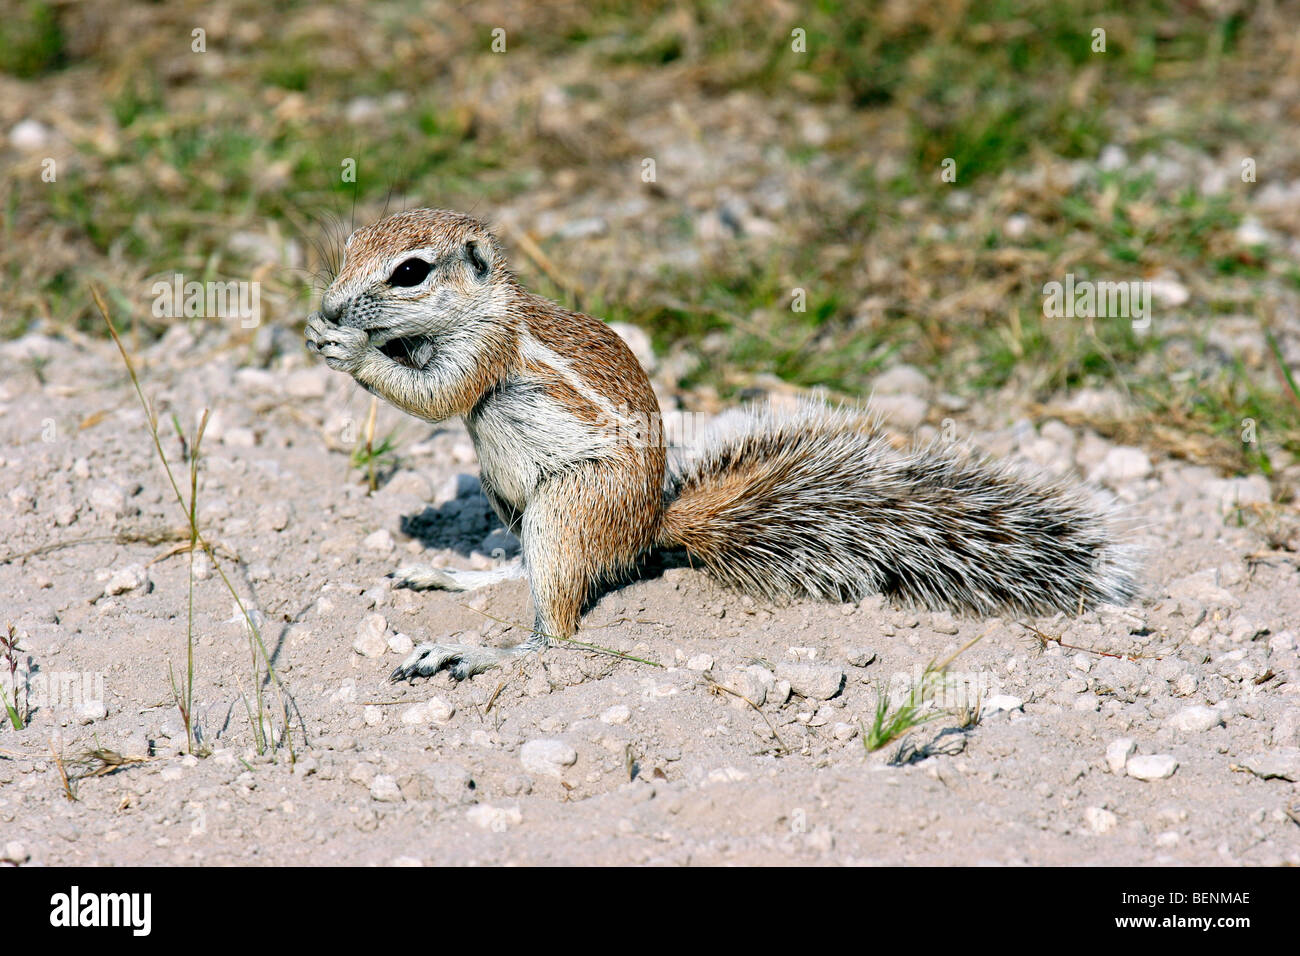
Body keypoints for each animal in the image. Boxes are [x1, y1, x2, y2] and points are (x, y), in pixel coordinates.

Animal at [304, 209, 1138, 681]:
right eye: (350, 246)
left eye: (410, 271)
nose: (331, 305)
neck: (484, 307)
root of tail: (648, 528)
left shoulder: (486, 351)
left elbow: (438, 397)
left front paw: (348, 351)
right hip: (511, 498)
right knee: (528, 575)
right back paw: (460, 580)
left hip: (569, 507)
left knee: (557, 629)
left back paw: (479, 651)